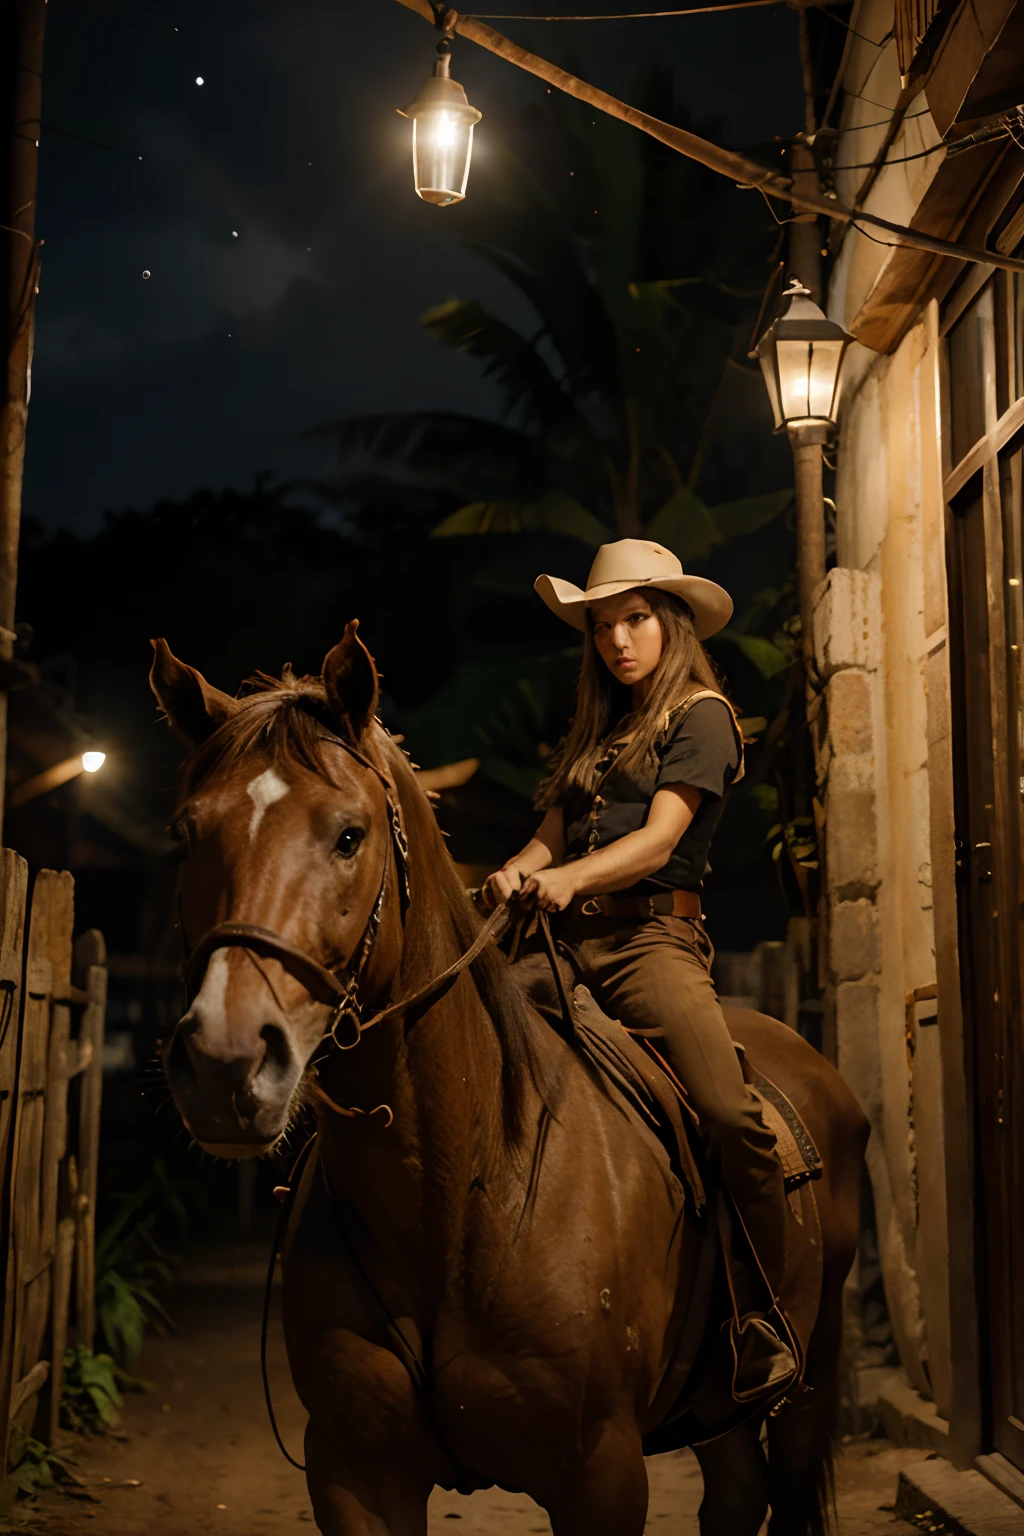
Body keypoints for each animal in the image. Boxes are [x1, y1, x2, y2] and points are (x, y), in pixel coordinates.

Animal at [151, 623, 872, 1536]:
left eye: (349, 834)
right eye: (188, 835)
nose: (226, 1060)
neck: (457, 1195)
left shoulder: (600, 1477)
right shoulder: (353, 1476)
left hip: (809, 1381)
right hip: (717, 1411)